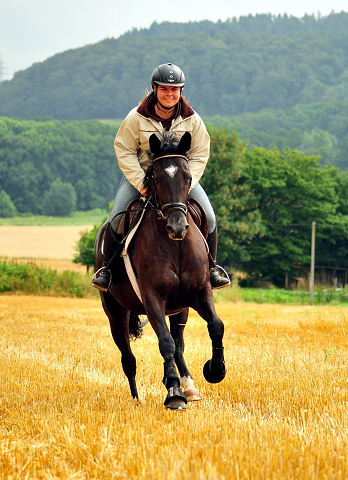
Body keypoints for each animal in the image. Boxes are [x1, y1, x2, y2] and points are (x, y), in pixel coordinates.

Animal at [94, 132, 227, 412]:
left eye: (188, 177)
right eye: (156, 178)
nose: (177, 227)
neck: (175, 246)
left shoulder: (200, 293)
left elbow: (215, 326)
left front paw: (215, 370)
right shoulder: (153, 298)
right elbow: (164, 342)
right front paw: (174, 393)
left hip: (179, 309)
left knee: (179, 344)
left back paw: (189, 386)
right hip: (115, 312)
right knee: (128, 356)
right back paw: (137, 397)